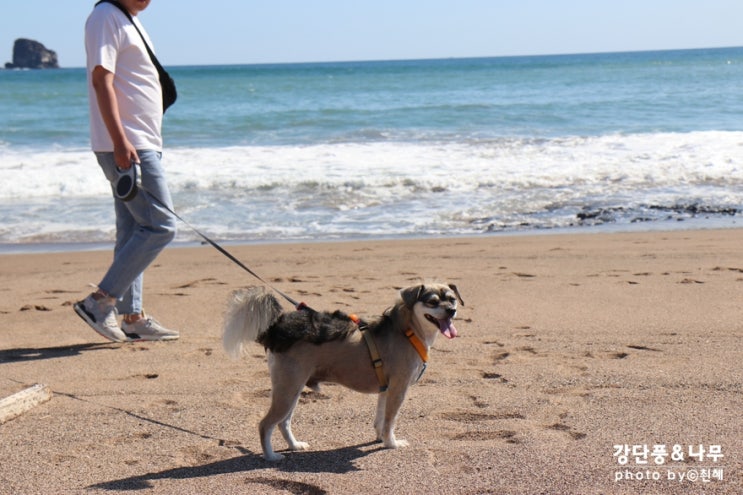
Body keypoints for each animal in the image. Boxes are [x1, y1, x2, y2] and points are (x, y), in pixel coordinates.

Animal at [222, 282, 464, 462]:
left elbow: (381, 418)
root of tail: (277, 329)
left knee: (283, 422)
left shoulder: (386, 390)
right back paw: (271, 456)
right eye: (432, 302)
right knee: (266, 424)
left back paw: (295, 446)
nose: (451, 310)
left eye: (452, 299)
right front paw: (391, 443)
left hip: (292, 389)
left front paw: (380, 438)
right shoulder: (399, 388)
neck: (408, 330)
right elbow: (390, 420)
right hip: (287, 390)